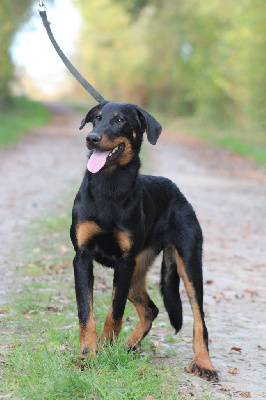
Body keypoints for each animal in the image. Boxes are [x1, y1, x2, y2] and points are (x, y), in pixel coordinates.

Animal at [70, 100, 218, 382]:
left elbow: (114, 313)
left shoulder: (124, 262)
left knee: (199, 320)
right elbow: (87, 313)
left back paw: (204, 364)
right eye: (96, 118)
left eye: (119, 120)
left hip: (188, 264)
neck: (110, 187)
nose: (91, 138)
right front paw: (87, 356)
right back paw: (128, 346)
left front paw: (105, 351)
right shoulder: (82, 258)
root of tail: (177, 191)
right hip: (136, 271)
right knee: (151, 309)